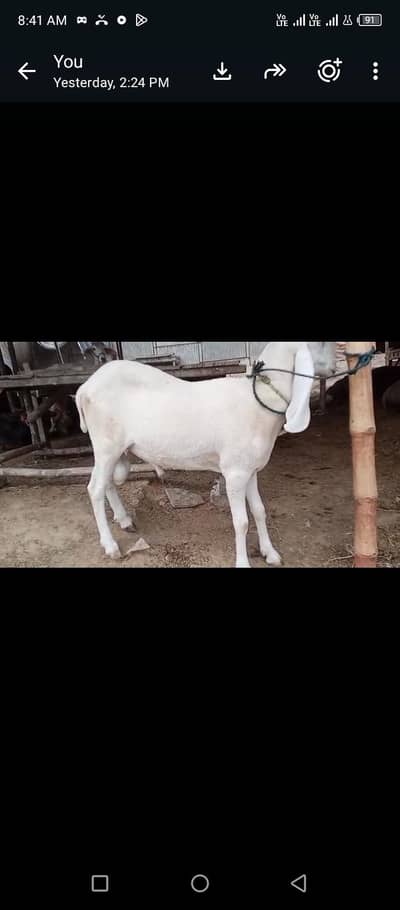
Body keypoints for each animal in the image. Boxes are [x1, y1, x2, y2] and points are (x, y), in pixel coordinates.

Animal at [76, 342, 336, 568]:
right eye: (320, 342)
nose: (335, 368)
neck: (258, 400)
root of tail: (84, 388)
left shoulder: (250, 470)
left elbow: (259, 511)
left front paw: (270, 553)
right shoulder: (234, 473)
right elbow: (241, 522)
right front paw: (243, 563)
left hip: (111, 450)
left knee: (107, 483)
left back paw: (124, 520)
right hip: (106, 445)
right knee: (95, 489)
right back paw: (110, 545)